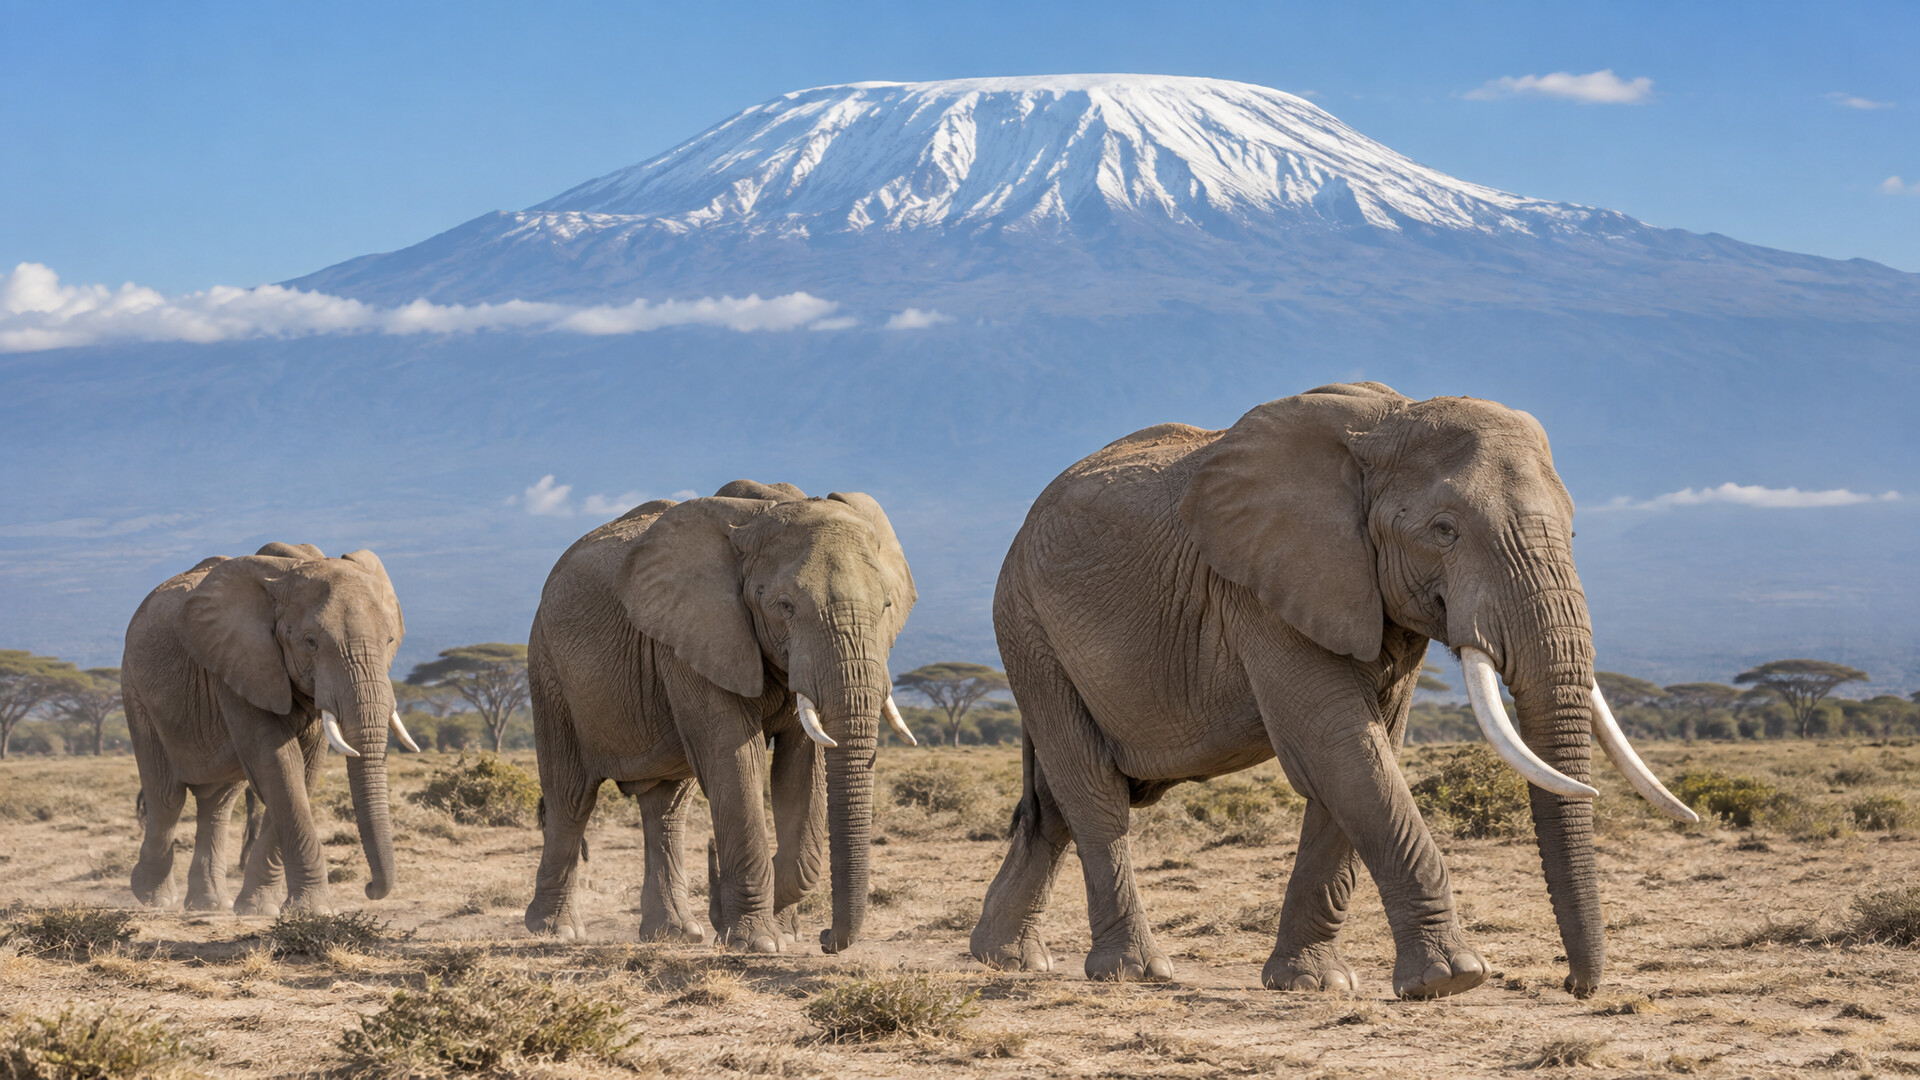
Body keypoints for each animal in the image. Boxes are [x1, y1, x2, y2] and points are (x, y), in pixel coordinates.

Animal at [122, 542, 416, 914]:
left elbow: (303, 773)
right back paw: (152, 897)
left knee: (217, 803)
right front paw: (312, 910)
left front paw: (259, 906)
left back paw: (209, 904)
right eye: (310, 641)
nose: (370, 888)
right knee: (167, 796)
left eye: (389, 640)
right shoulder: (240, 665)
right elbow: (278, 765)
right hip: (136, 692)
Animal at [522, 480, 917, 954]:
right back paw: (556, 931)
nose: (826, 939)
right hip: (548, 667)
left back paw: (675, 933)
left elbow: (800, 771)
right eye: (784, 606)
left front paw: (777, 932)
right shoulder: (696, 634)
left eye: (886, 605)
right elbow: (736, 760)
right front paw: (756, 942)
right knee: (571, 796)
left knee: (667, 806)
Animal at [969, 383, 1695, 999]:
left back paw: (1005, 960)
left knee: (1059, 803)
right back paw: (1133, 973)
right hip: (1027, 626)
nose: (1575, 986)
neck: (1389, 423)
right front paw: (1451, 979)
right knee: (1095, 791)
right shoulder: (1262, 588)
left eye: (1572, 533)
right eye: (1444, 530)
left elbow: (1364, 756)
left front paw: (1312, 984)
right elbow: (1340, 746)